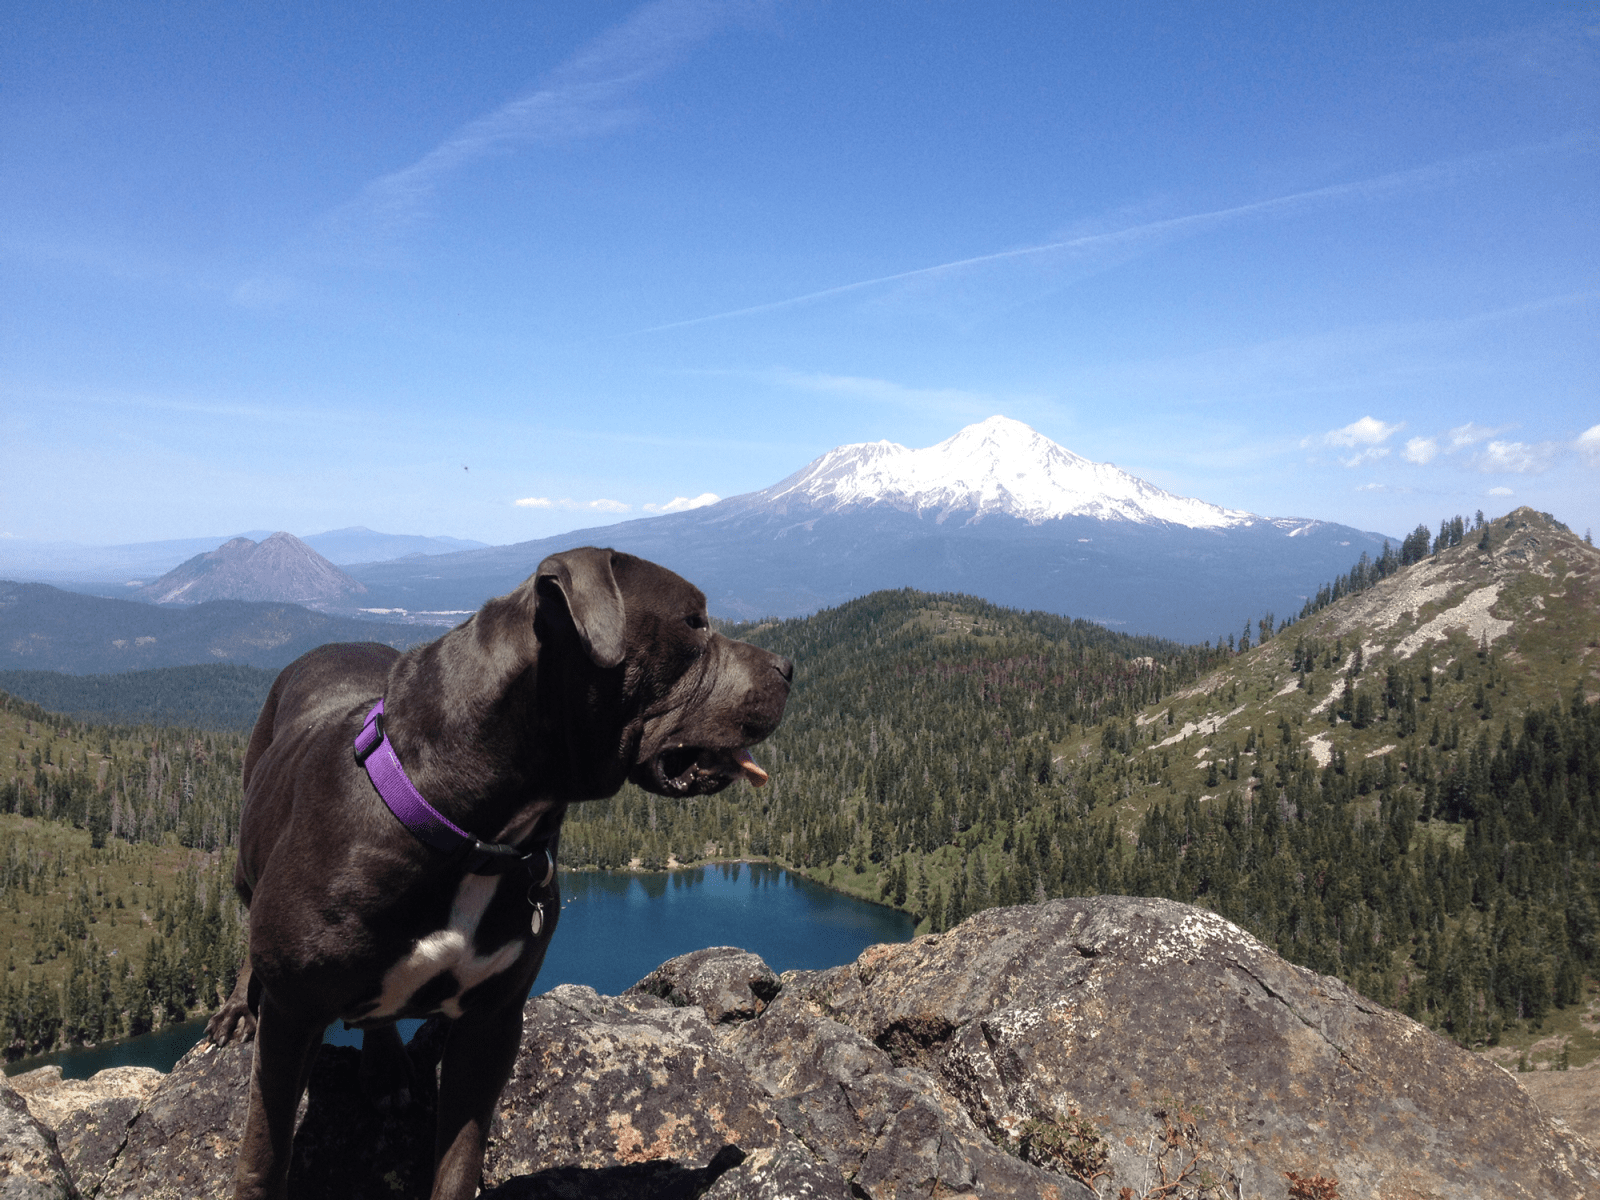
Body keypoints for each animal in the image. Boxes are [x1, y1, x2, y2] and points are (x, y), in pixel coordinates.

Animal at [206, 550, 793, 1196]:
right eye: (693, 623)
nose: (790, 667)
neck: (473, 836)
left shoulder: (491, 1024)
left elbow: (459, 1160)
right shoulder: (293, 1019)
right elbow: (263, 1157)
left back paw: (386, 1067)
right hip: (245, 853)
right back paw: (237, 1011)